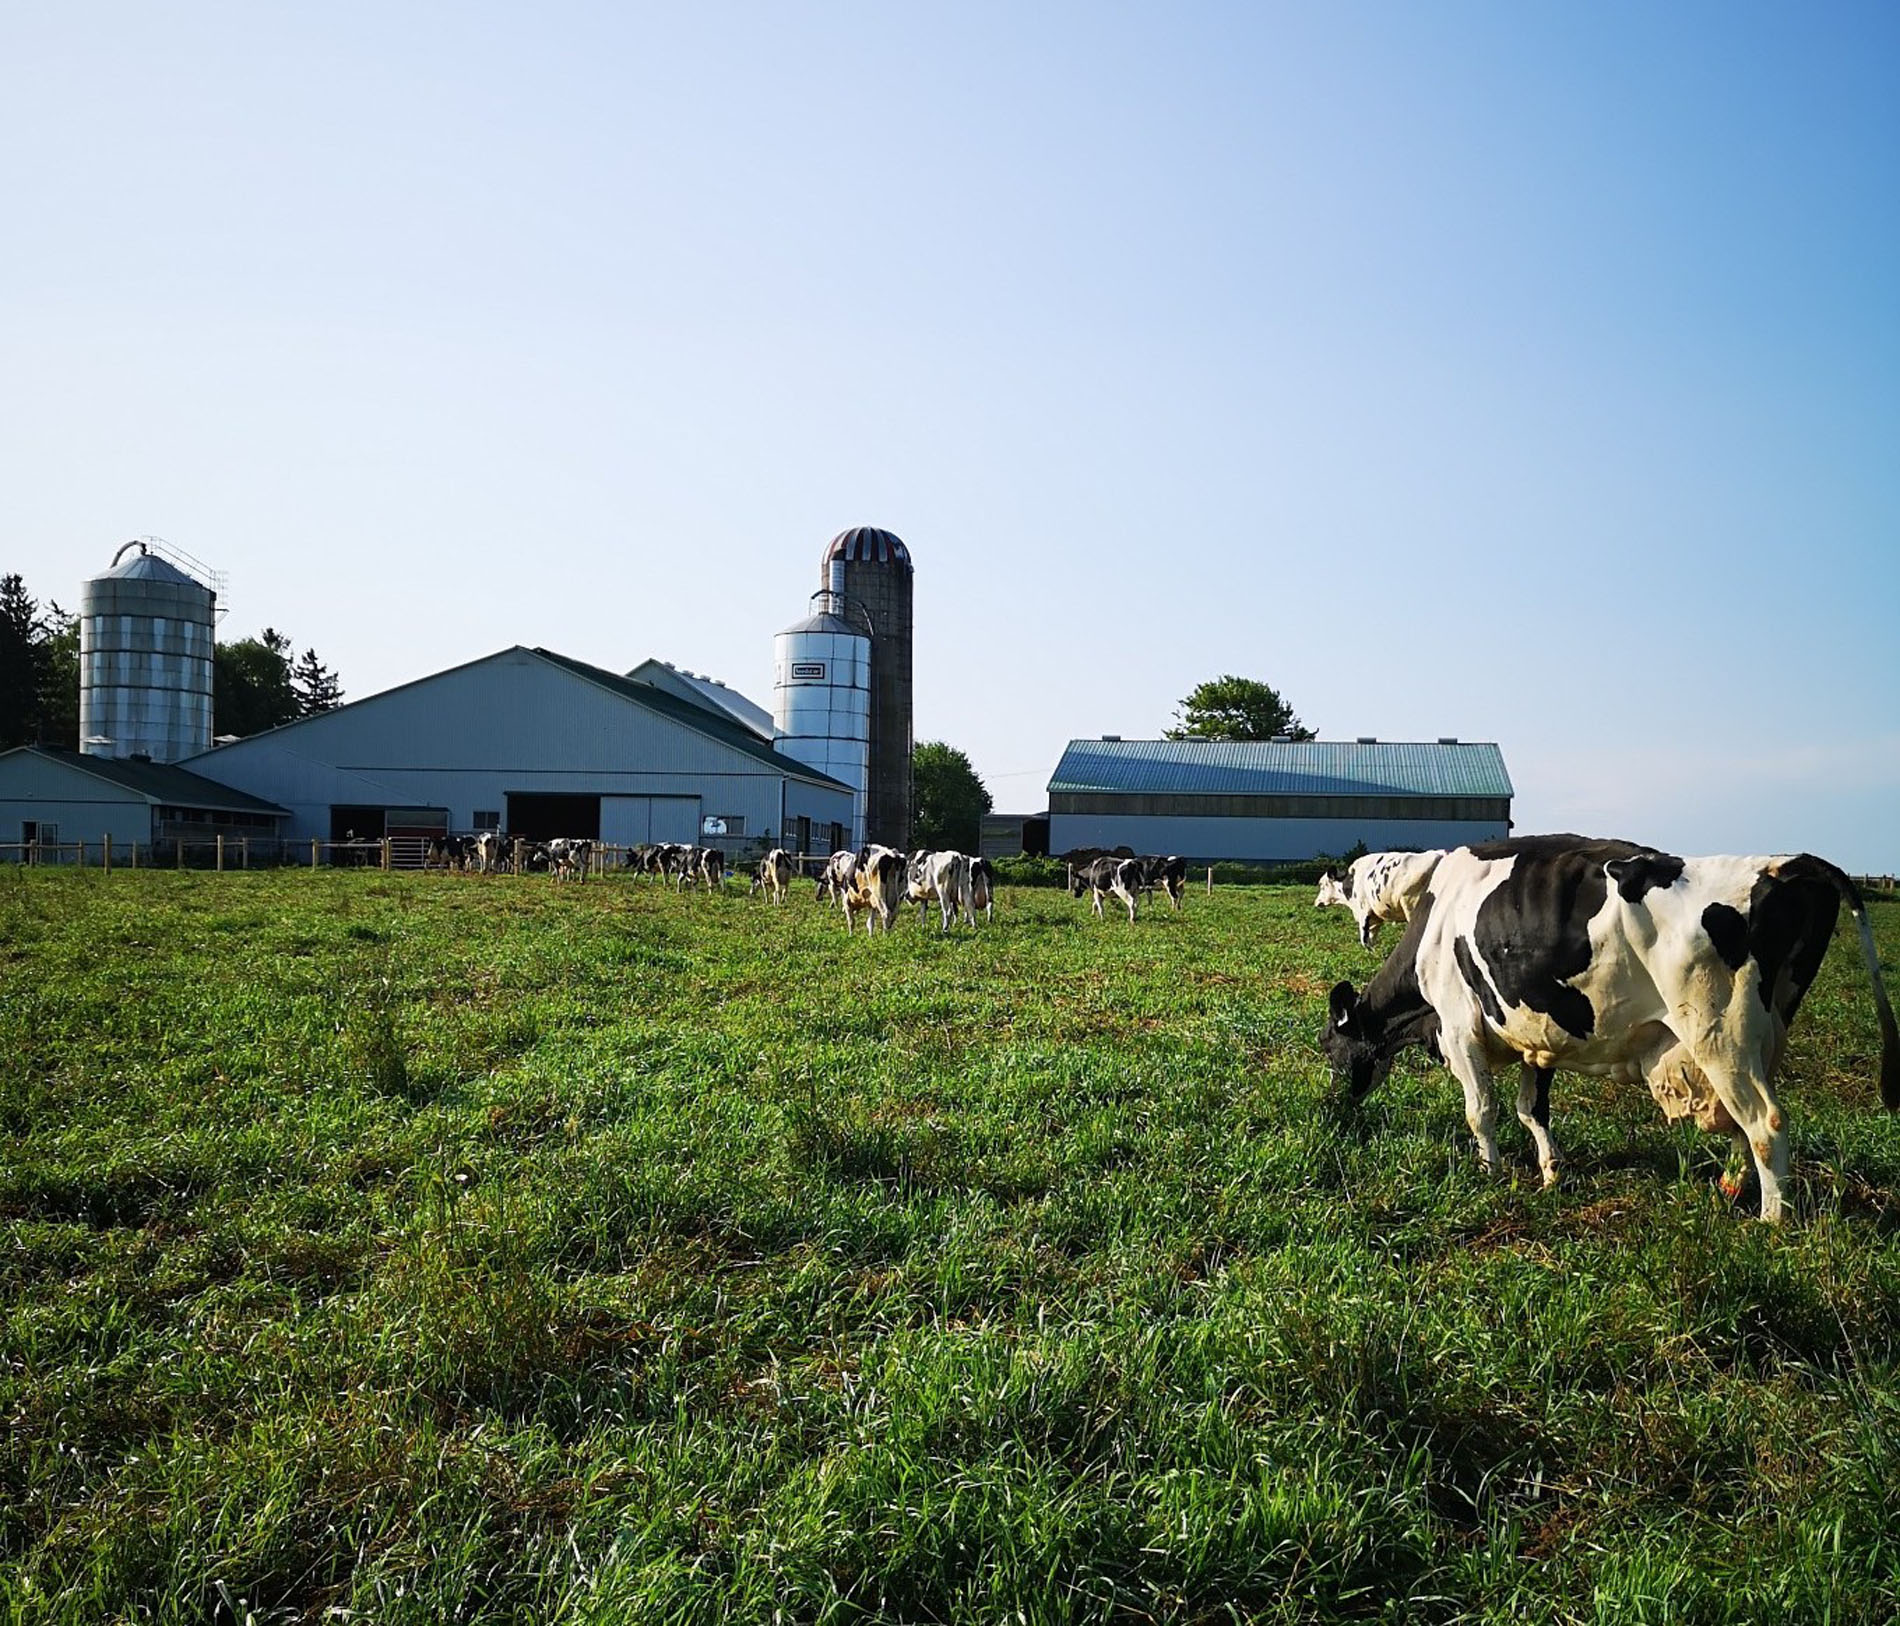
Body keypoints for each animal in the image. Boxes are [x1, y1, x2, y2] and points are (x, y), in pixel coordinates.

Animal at [1314, 850, 1444, 953]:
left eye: (1321, 885)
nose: (1316, 902)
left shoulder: (1364, 912)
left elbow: (1364, 939)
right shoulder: (1375, 918)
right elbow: (1372, 938)